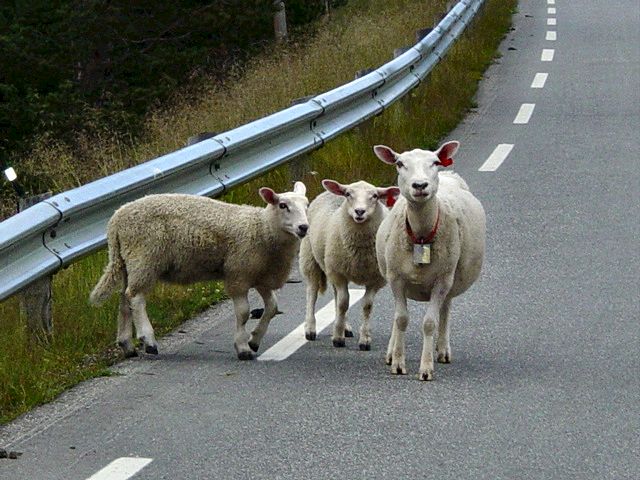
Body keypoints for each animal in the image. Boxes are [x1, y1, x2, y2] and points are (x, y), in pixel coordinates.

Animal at [90, 183, 310, 360]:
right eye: (283, 205)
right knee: (135, 297)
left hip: (129, 262)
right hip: (145, 258)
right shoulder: (238, 274)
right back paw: (149, 340)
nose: (304, 227)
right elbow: (243, 313)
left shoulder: (261, 275)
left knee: (123, 299)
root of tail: (116, 219)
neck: (262, 229)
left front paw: (254, 340)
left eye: (307, 205)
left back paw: (127, 345)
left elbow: (272, 307)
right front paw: (242, 347)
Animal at [300, 178, 400, 350]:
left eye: (375, 196)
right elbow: (343, 303)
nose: (359, 211)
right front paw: (337, 338)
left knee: (336, 295)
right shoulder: (339, 273)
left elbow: (366, 306)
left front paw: (364, 340)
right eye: (348, 194)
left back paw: (345, 327)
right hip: (310, 259)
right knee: (312, 293)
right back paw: (311, 329)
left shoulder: (374, 279)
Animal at [370, 141, 484, 380]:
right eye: (400, 163)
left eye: (435, 162)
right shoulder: (396, 279)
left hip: (451, 278)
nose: (420, 185)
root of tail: (450, 175)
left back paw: (442, 350)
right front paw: (398, 363)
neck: (421, 235)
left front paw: (426, 368)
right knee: (398, 317)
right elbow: (401, 319)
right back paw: (391, 353)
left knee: (446, 309)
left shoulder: (442, 281)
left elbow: (430, 323)